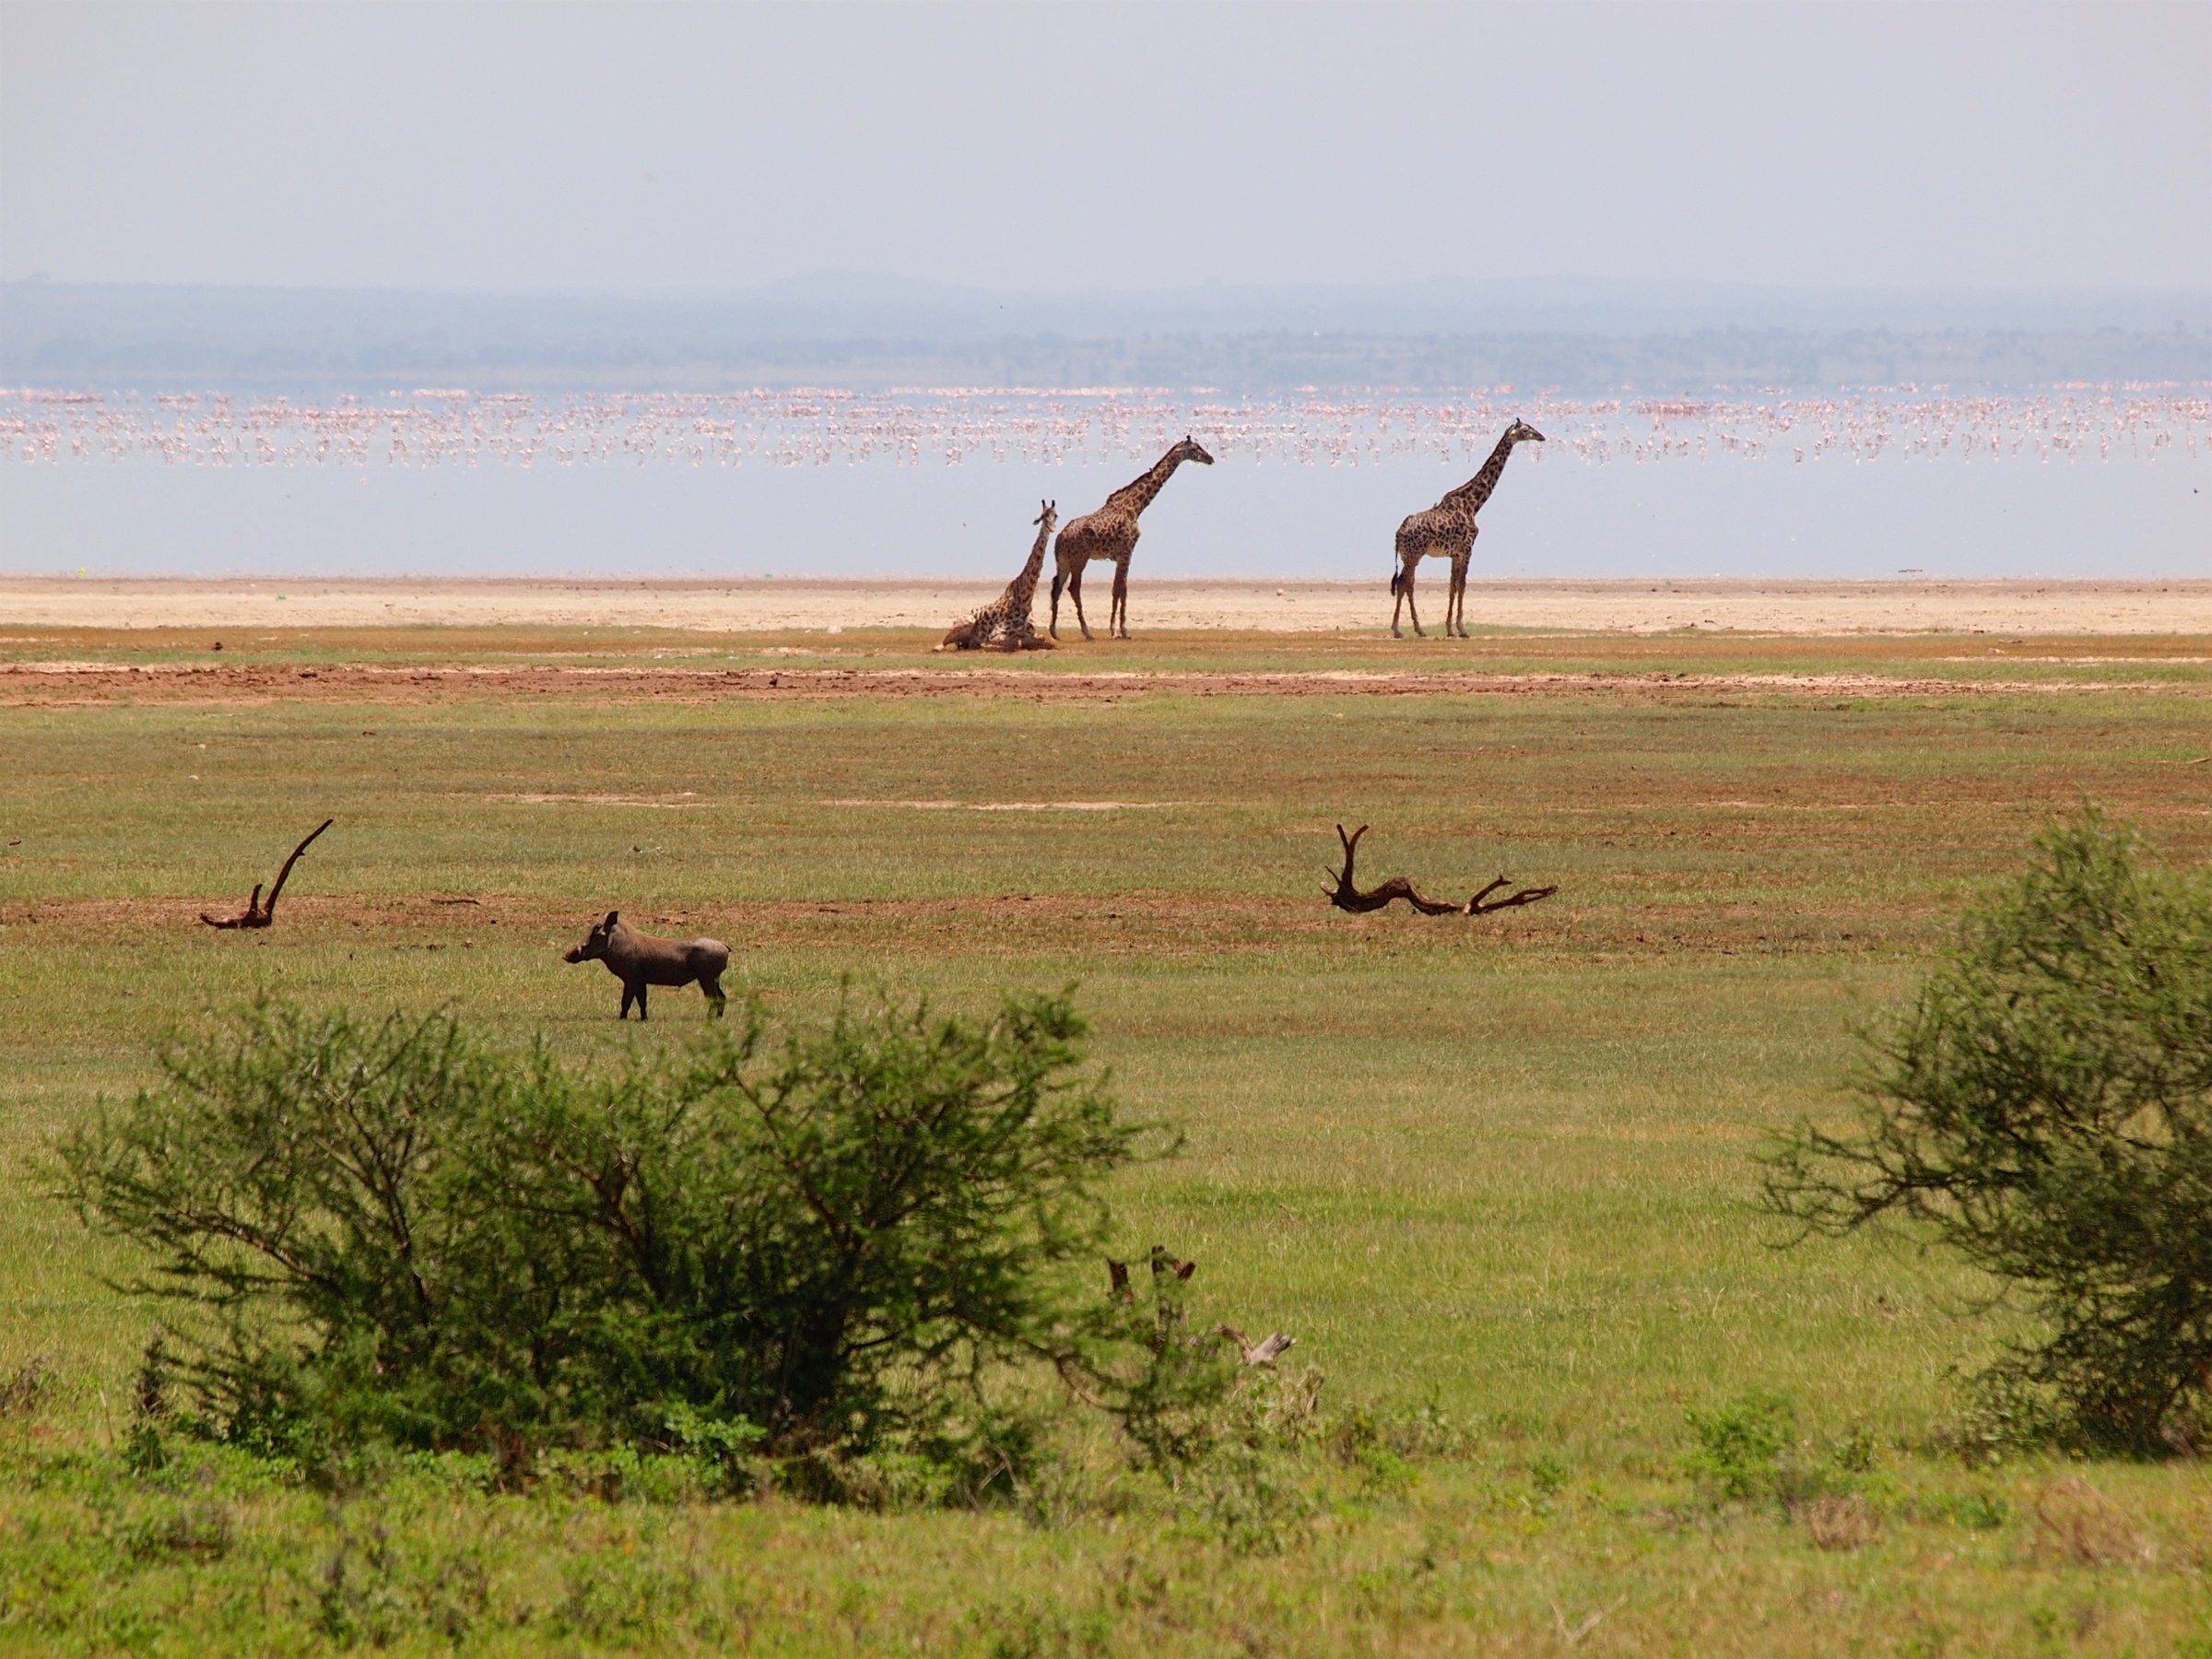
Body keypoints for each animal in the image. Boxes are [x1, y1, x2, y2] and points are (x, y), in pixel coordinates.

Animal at [939, 500, 1059, 651]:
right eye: (1042, 516)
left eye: (1056, 516)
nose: (1051, 528)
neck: (1025, 601)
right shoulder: (996, 634)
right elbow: (1013, 642)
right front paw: (985, 644)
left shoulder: (1033, 634)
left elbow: (1047, 641)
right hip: (966, 623)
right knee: (940, 645)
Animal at [1049, 435, 1214, 641]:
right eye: (1195, 448)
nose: (1210, 458)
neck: (1135, 507)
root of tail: (1060, 538)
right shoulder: (1126, 552)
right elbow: (1119, 589)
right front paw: (1117, 630)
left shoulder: (1124, 555)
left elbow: (1122, 589)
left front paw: (1121, 630)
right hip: (1080, 559)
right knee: (1073, 588)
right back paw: (1087, 632)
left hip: (1063, 561)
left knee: (1056, 587)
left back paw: (1054, 632)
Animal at [1390, 419, 1545, 638]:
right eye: (1525, 430)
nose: (1541, 437)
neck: (1473, 504)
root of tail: (1399, 532)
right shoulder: (1467, 549)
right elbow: (1462, 585)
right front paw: (1462, 628)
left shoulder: (1455, 554)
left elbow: (1452, 586)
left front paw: (1450, 628)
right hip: (1414, 555)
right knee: (1405, 583)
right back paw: (1404, 629)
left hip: (1407, 556)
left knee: (1405, 583)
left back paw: (1413, 628)